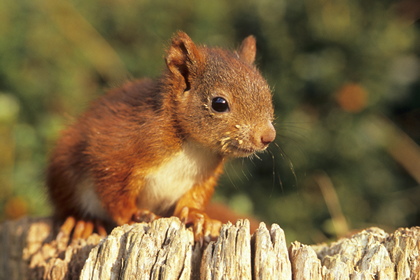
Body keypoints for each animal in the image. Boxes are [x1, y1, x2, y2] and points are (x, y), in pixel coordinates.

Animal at [46, 31, 276, 241]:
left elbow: (193, 199)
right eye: (219, 103)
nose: (268, 136)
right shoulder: (114, 152)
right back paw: (82, 221)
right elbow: (113, 194)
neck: (193, 147)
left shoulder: (204, 177)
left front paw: (199, 217)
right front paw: (131, 216)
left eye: (267, 93)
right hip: (64, 173)